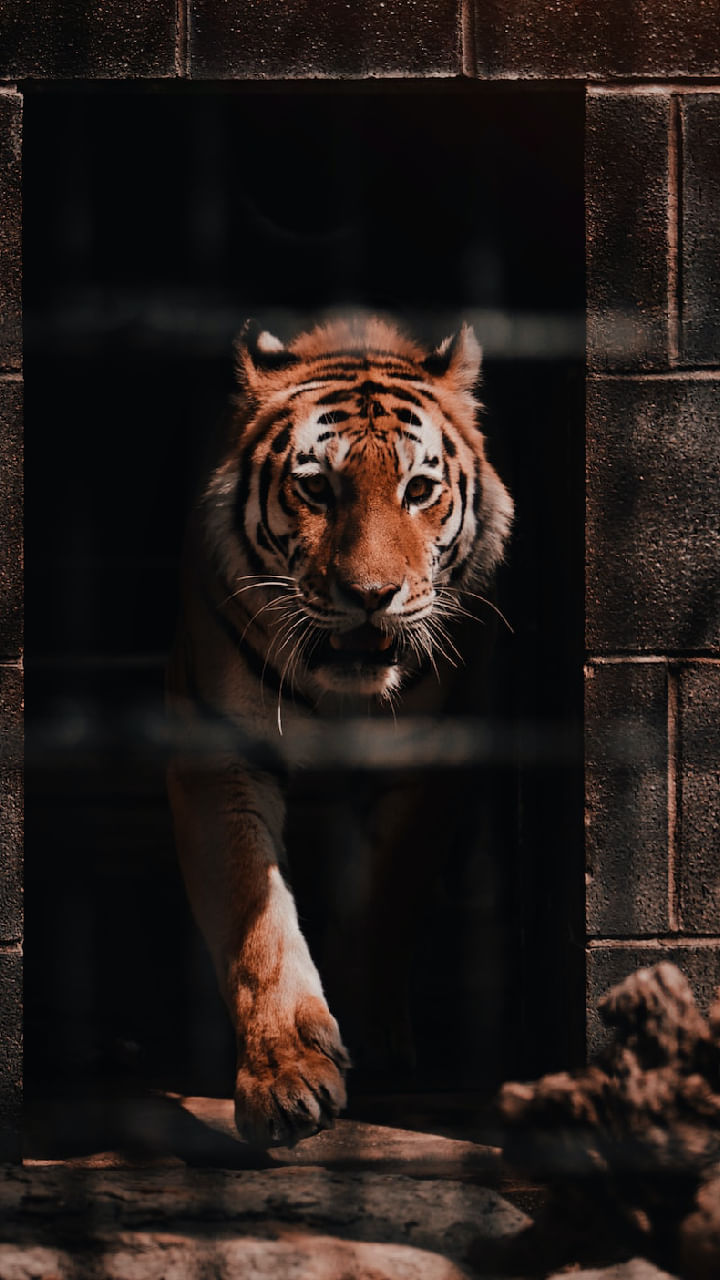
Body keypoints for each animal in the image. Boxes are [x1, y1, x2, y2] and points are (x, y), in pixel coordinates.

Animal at [167, 315, 514, 1148]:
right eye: (316, 486)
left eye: (418, 489)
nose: (370, 594)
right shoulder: (219, 755)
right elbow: (257, 923)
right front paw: (286, 1076)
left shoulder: (428, 759)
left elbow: (384, 898)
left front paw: (372, 1036)